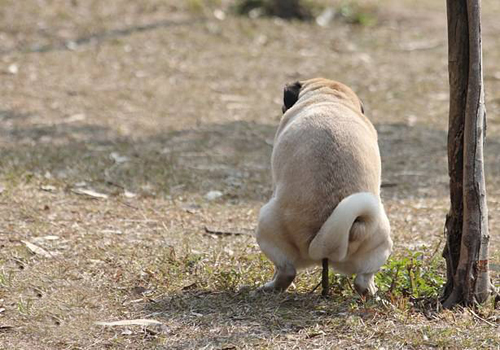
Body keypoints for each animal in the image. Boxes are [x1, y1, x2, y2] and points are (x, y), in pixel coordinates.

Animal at [256, 77, 392, 296]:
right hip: (381, 241)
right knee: (363, 278)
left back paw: (270, 287)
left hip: (266, 222)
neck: (330, 97)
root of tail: (327, 245)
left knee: (286, 271)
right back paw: (371, 292)